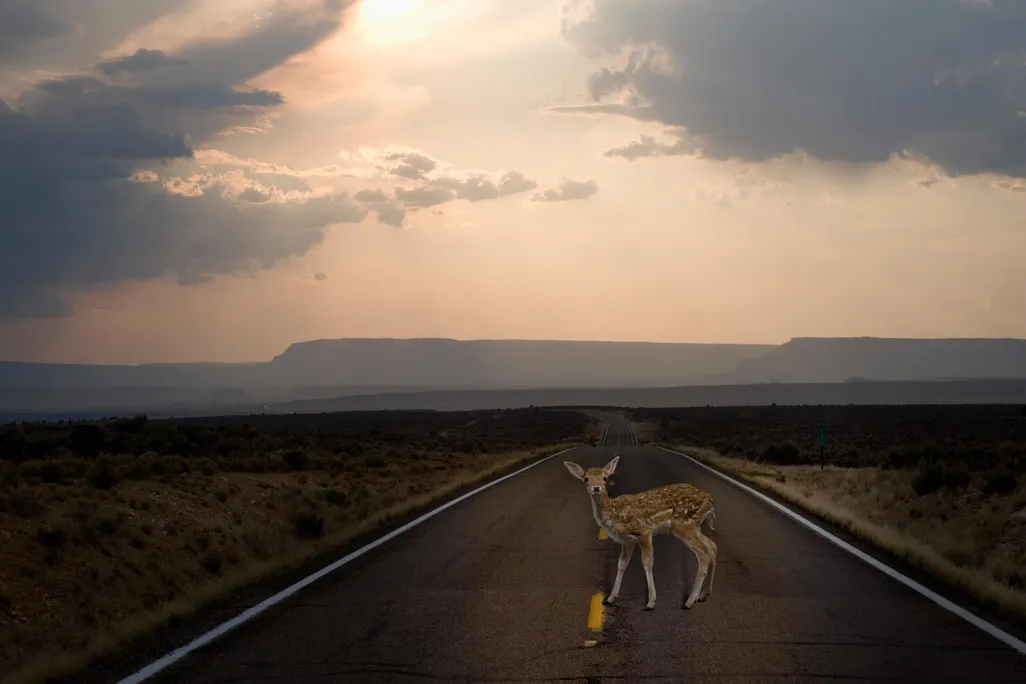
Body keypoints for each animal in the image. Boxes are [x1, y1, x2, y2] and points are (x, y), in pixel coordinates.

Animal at [564, 455, 717, 611]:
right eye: (586, 479)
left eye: (605, 478)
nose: (596, 488)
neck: (614, 514)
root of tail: (710, 501)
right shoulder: (627, 540)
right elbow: (621, 564)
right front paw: (610, 598)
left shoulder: (643, 531)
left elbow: (647, 563)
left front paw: (650, 603)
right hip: (693, 526)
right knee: (712, 546)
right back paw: (703, 595)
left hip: (685, 524)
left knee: (703, 554)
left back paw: (689, 601)